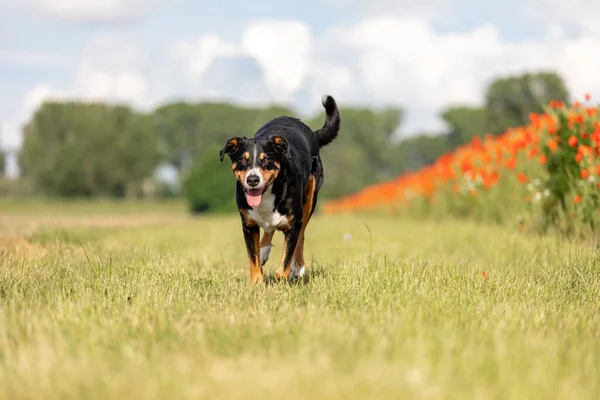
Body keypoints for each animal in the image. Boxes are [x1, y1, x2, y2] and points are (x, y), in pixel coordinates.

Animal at [220, 95, 342, 282]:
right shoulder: (248, 224)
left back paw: (298, 267)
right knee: (269, 230)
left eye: (266, 159)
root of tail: (311, 132)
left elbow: (284, 265)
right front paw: (256, 282)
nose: (253, 179)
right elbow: (253, 260)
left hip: (310, 200)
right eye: (243, 160)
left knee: (301, 235)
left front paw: (288, 273)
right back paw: (264, 250)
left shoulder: (294, 224)